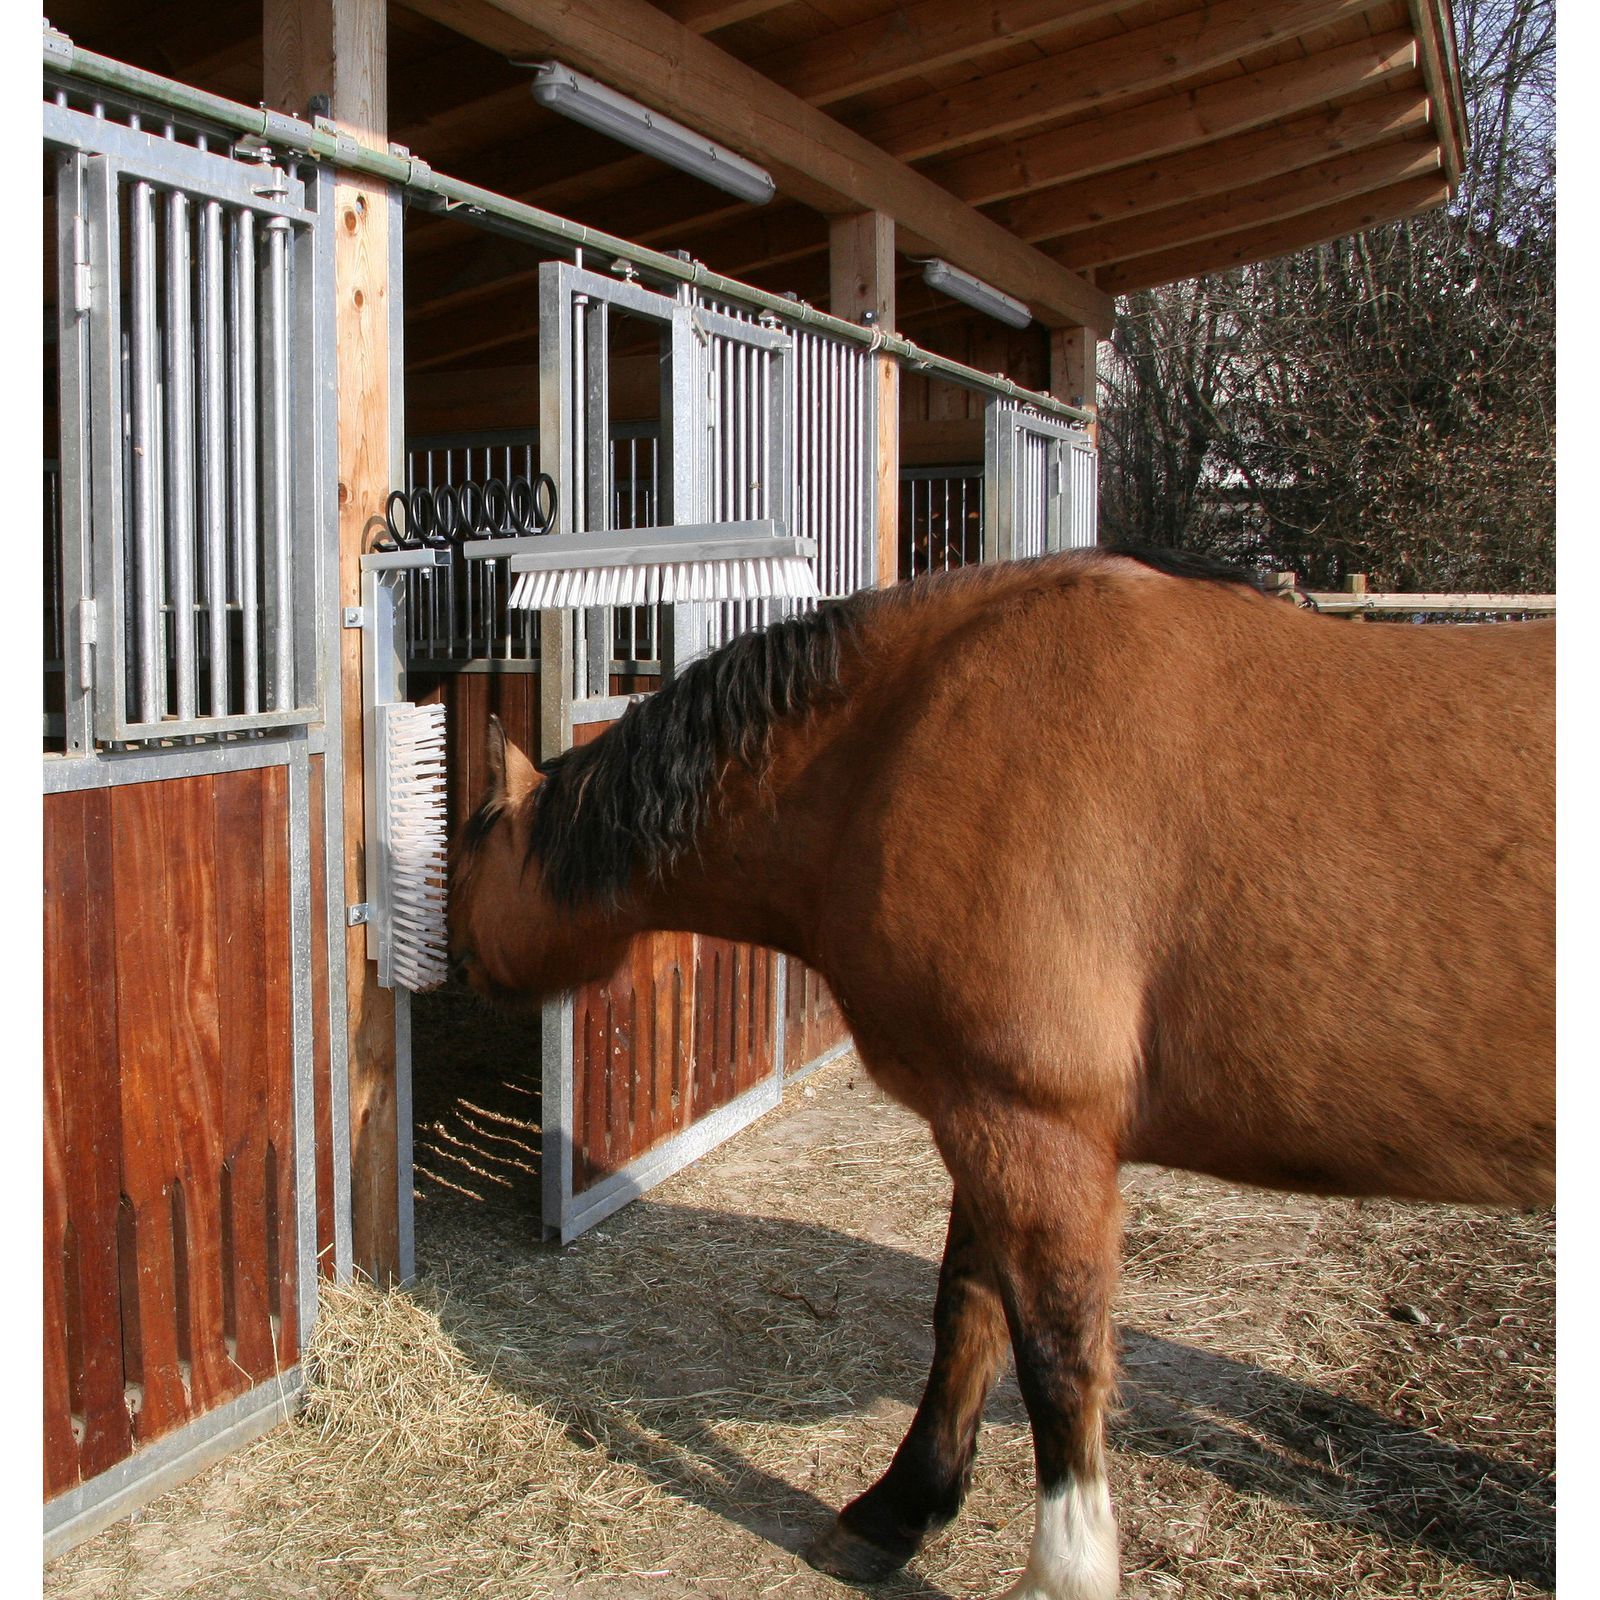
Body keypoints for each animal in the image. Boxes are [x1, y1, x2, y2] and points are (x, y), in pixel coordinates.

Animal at [447, 547, 1554, 1600]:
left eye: (467, 853)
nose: (453, 967)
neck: (902, 739)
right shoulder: (977, 1113)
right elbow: (968, 1311)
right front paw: (900, 1510)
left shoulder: (1034, 1125)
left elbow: (1058, 1358)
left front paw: (1063, 1568)